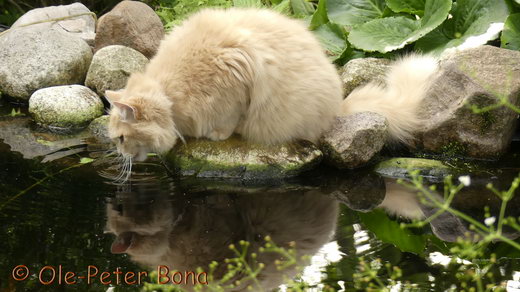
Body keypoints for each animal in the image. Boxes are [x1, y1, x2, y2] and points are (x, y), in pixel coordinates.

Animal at [106, 6, 438, 161]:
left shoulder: (238, 72)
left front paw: (218, 133)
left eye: (121, 139)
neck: (170, 94)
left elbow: (230, 116)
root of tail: (339, 105)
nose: (120, 155)